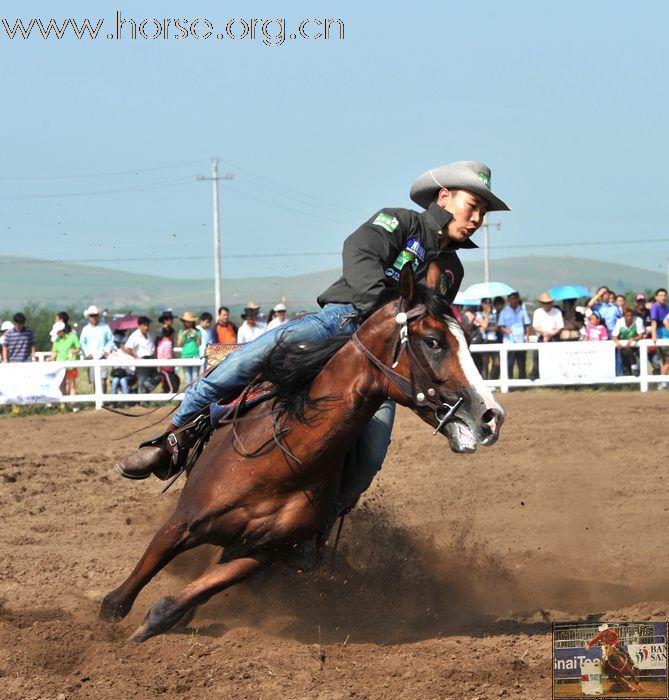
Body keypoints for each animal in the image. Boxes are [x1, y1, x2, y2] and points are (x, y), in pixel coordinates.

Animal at [99, 264, 504, 644]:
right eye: (433, 341)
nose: (491, 416)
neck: (285, 462)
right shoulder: (182, 523)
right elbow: (118, 600)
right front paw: (109, 633)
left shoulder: (259, 554)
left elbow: (174, 604)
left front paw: (151, 629)